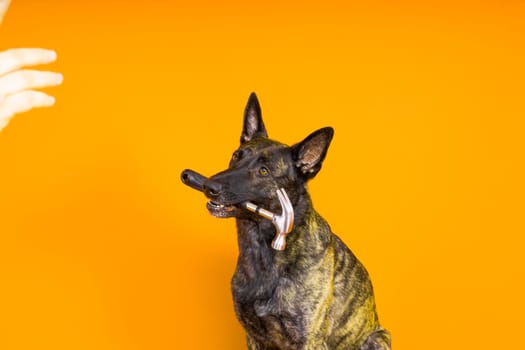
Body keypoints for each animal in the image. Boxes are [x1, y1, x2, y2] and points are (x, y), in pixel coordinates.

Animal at [180, 93, 388, 350]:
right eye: (236, 156)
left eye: (264, 171)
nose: (209, 186)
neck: (262, 251)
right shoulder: (254, 337)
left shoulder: (309, 340)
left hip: (378, 338)